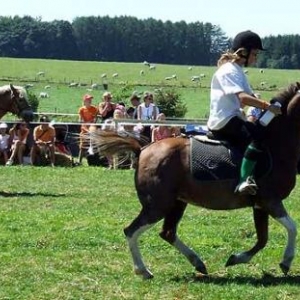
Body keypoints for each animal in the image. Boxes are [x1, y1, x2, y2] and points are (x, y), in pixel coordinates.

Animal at [88, 82, 300, 278]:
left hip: (177, 203)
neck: (276, 144)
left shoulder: (259, 204)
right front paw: (286, 261)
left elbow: (262, 239)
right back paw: (143, 270)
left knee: (167, 232)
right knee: (131, 231)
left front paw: (236, 258)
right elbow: (292, 227)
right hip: (157, 206)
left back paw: (197, 263)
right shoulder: (269, 201)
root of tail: (143, 150)